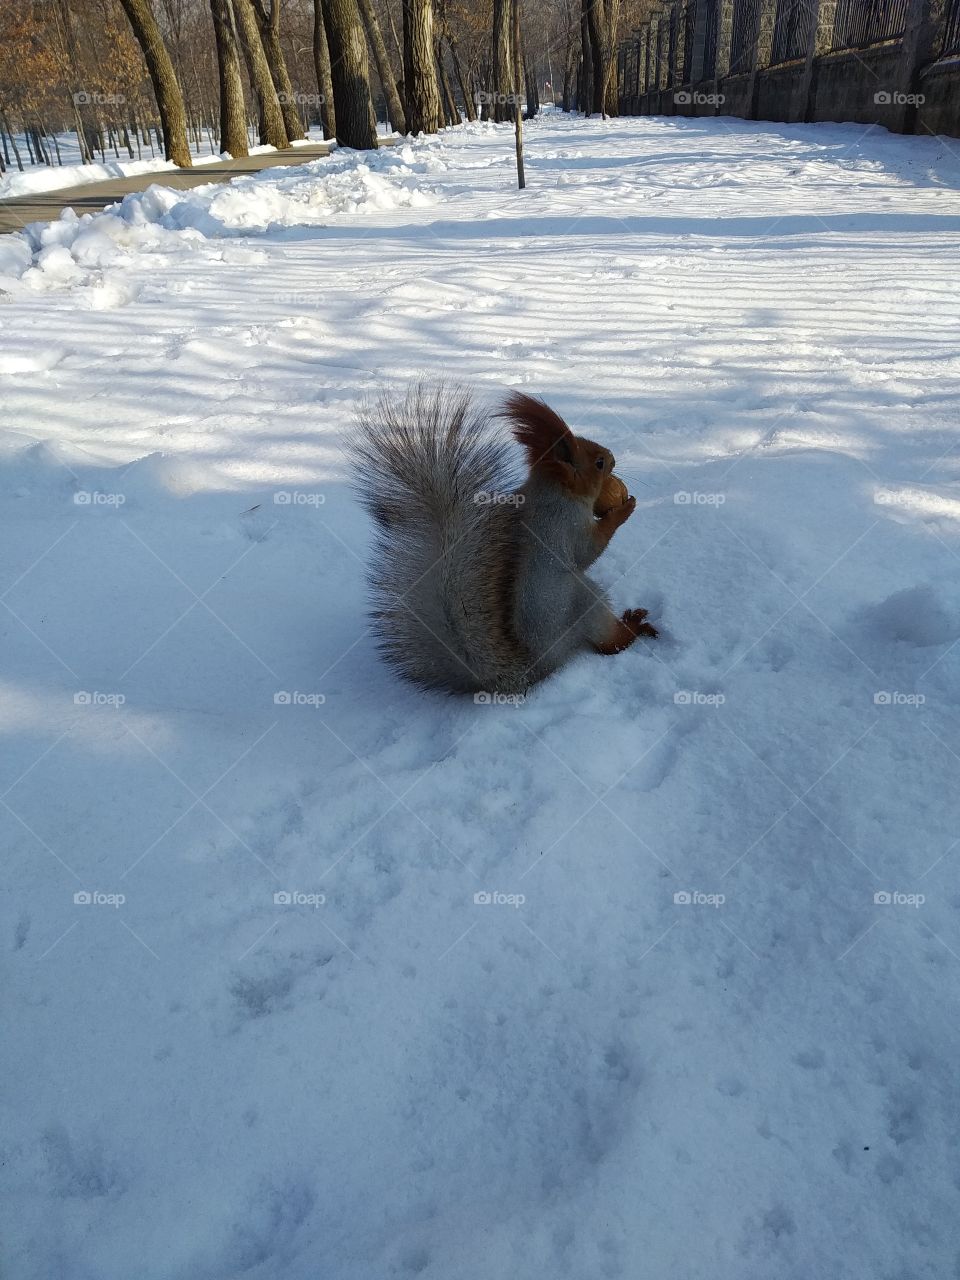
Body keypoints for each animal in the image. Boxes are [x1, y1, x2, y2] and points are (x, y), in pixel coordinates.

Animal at [350, 384, 658, 695]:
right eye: (599, 463)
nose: (612, 456)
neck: (554, 492)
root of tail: (536, 665)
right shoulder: (563, 526)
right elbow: (589, 550)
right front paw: (623, 510)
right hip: (586, 601)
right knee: (608, 644)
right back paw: (632, 628)